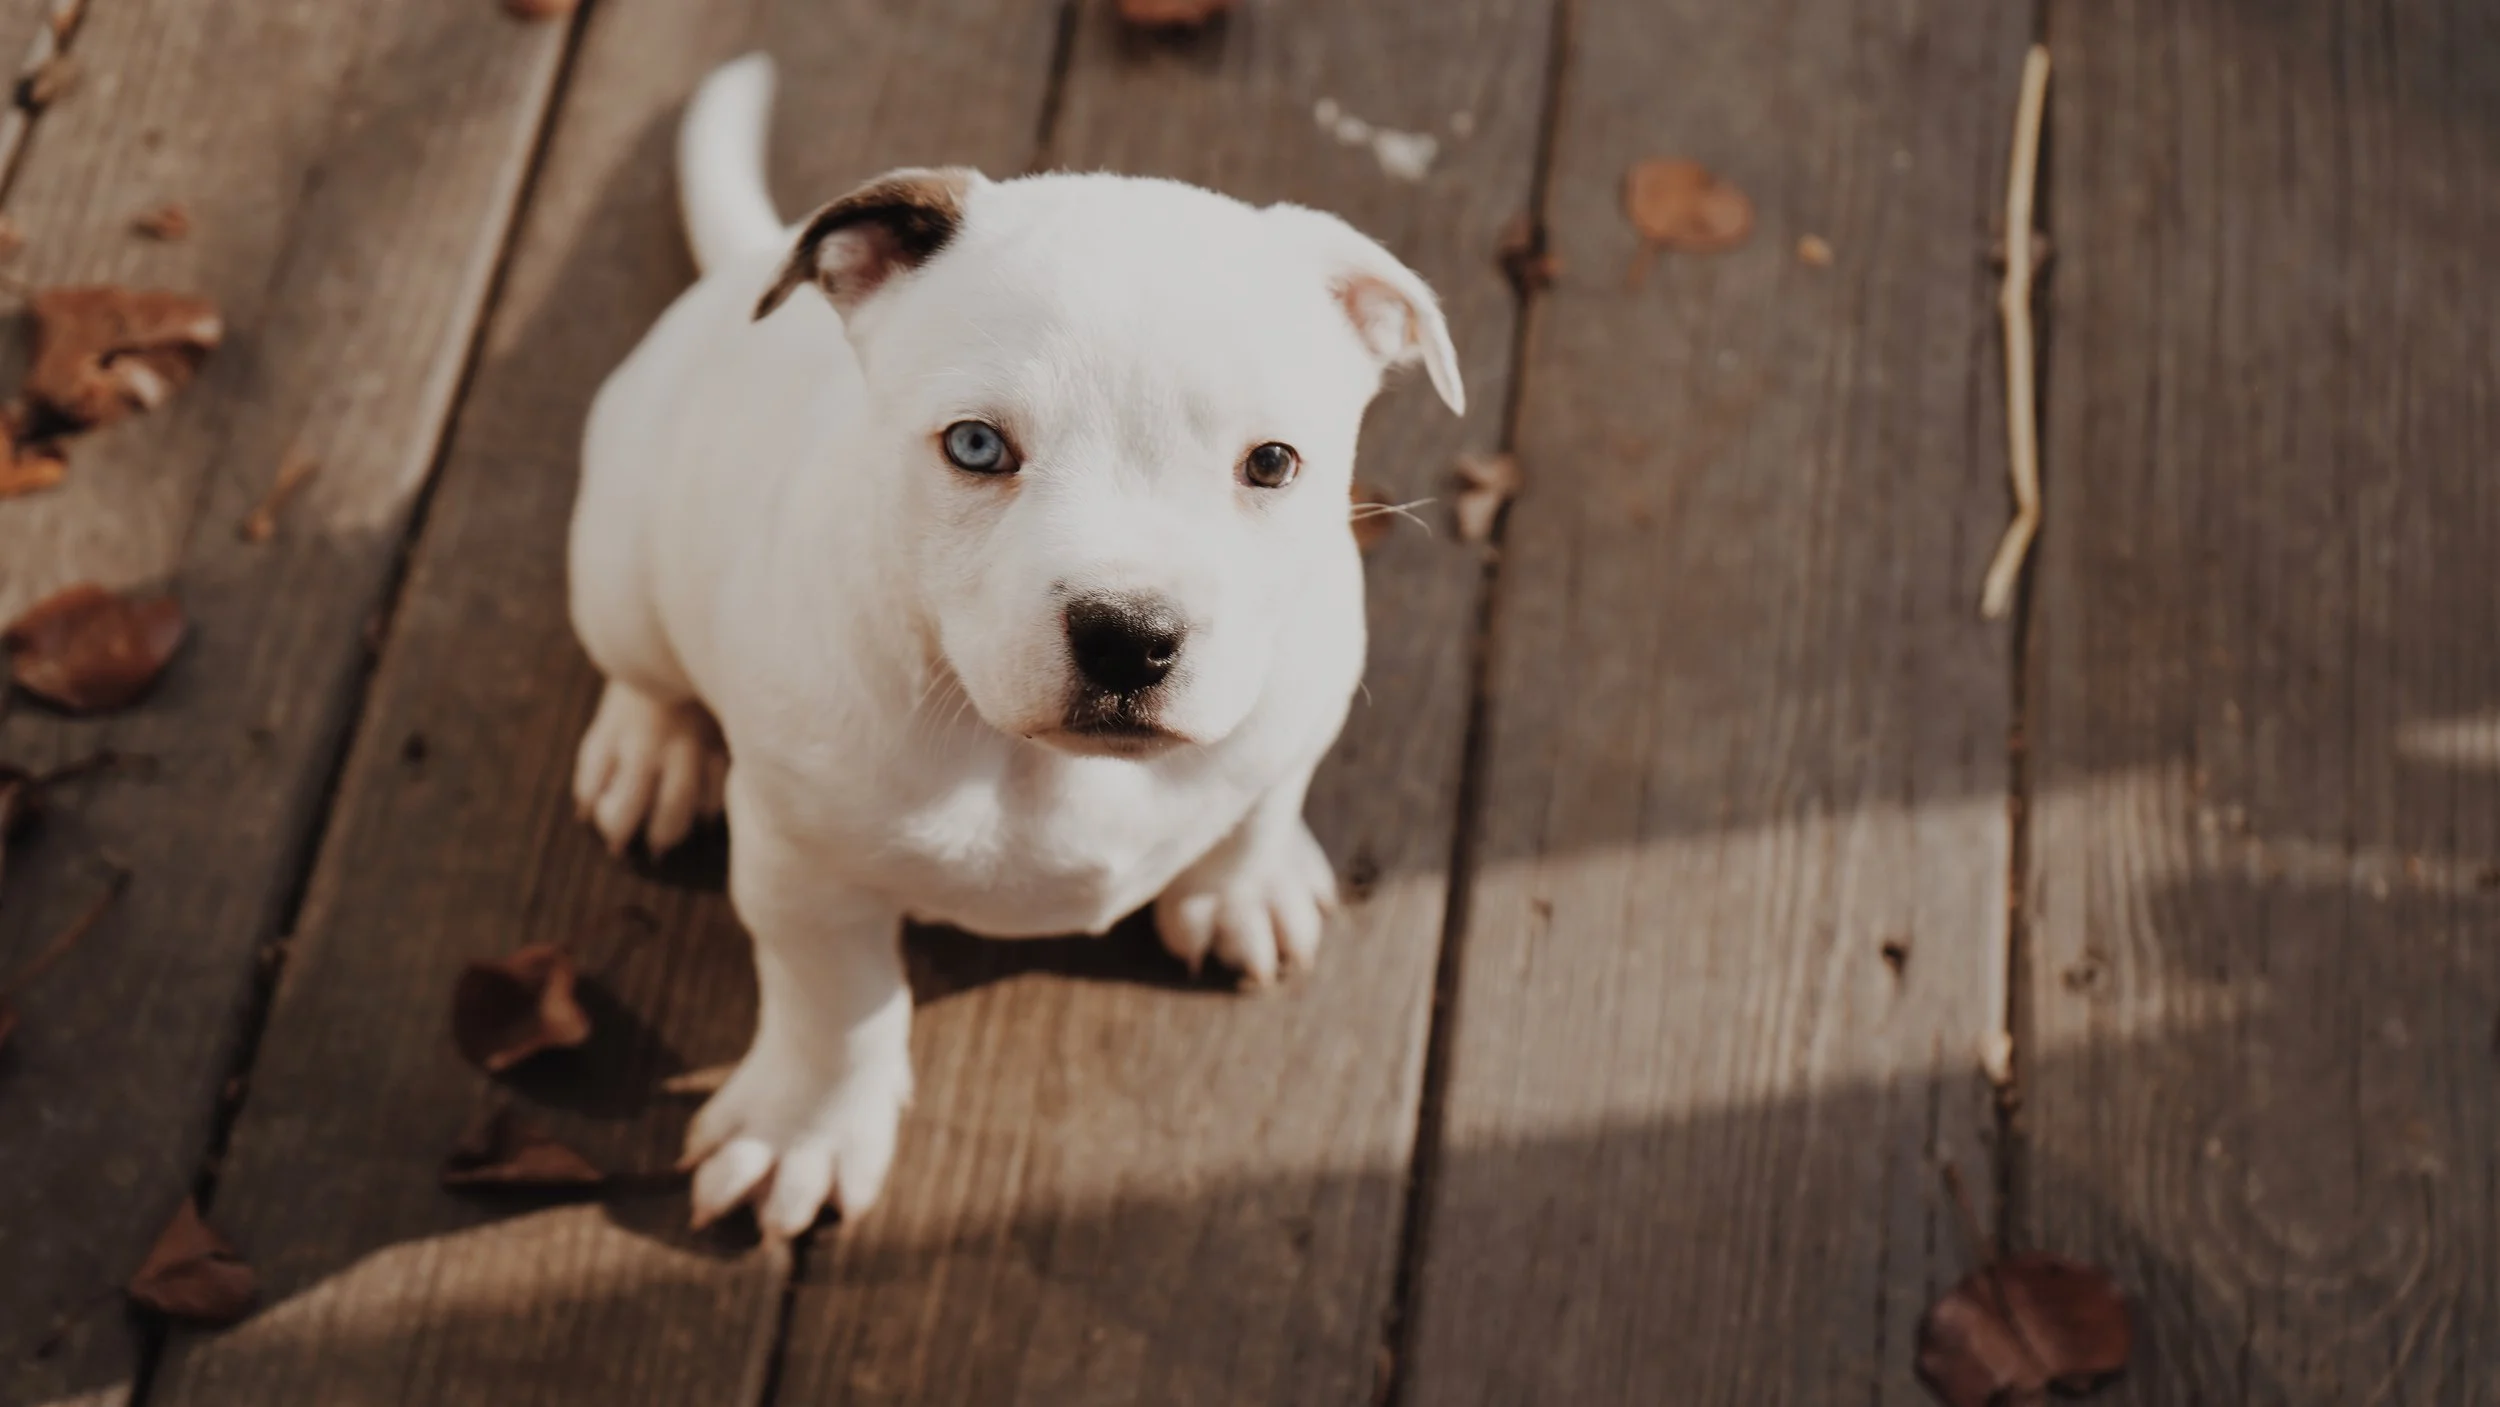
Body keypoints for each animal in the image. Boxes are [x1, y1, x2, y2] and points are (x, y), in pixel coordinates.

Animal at [566, 54, 1465, 1237]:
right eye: (977, 446)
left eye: (1272, 463)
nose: (1130, 636)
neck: (1036, 765)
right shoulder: (806, 873)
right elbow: (837, 1005)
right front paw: (805, 1130)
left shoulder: (1295, 708)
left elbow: (1262, 800)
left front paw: (1243, 883)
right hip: (620, 560)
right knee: (645, 668)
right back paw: (652, 751)